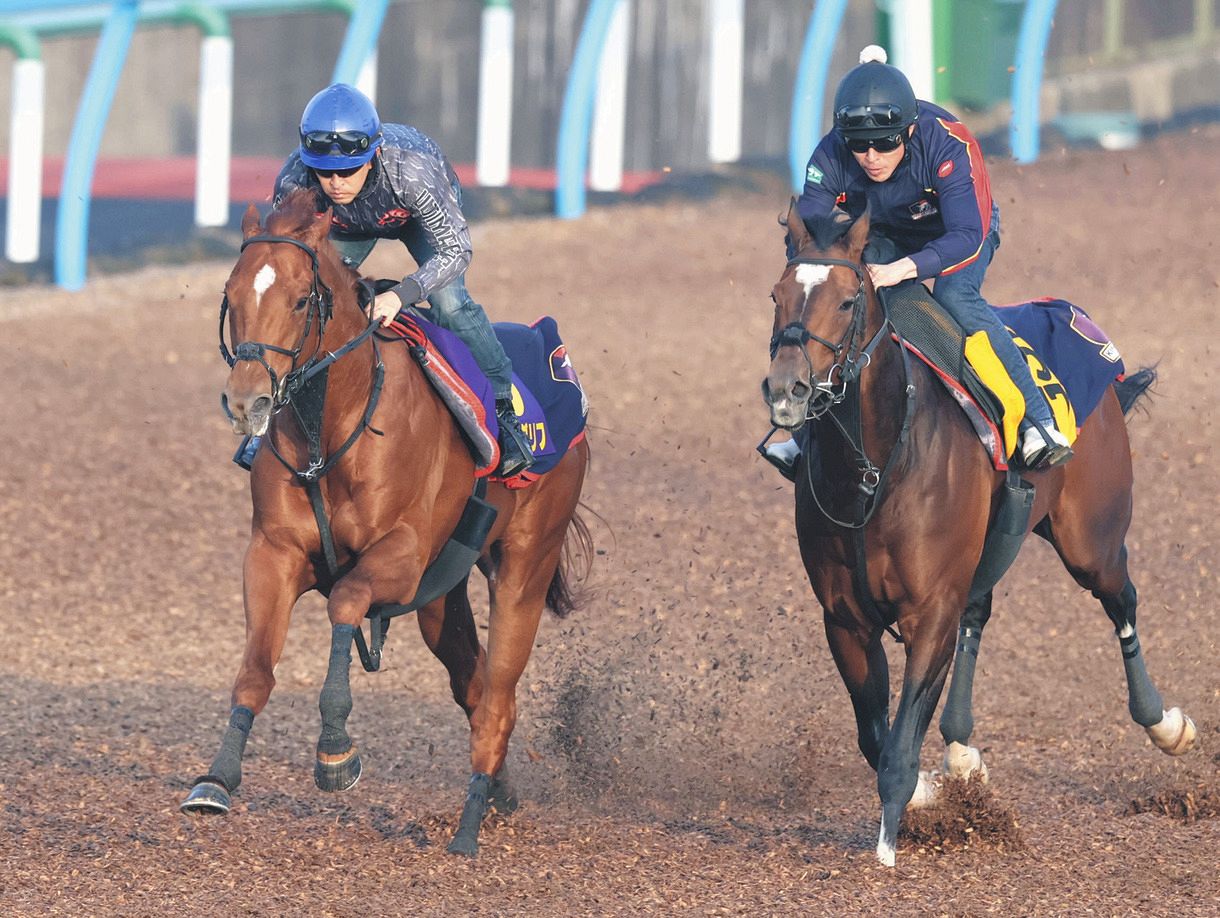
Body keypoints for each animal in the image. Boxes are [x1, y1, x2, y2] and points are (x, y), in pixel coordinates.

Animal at [181, 190, 595, 859]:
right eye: (232, 293)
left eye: (300, 300)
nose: (247, 402)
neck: (332, 430)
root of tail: (552, 352)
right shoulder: (272, 552)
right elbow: (254, 671)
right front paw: (216, 779)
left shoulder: (401, 556)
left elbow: (346, 601)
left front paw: (334, 752)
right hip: (442, 597)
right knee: (474, 685)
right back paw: (498, 796)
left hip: (525, 564)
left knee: (499, 700)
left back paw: (468, 827)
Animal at [766, 202, 1195, 869]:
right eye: (776, 295)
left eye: (847, 300)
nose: (788, 390)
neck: (875, 466)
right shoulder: (844, 619)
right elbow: (873, 735)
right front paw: (933, 791)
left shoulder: (929, 612)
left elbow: (897, 747)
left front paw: (889, 849)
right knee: (981, 612)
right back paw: (962, 753)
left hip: (1090, 539)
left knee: (1120, 598)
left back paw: (1164, 723)